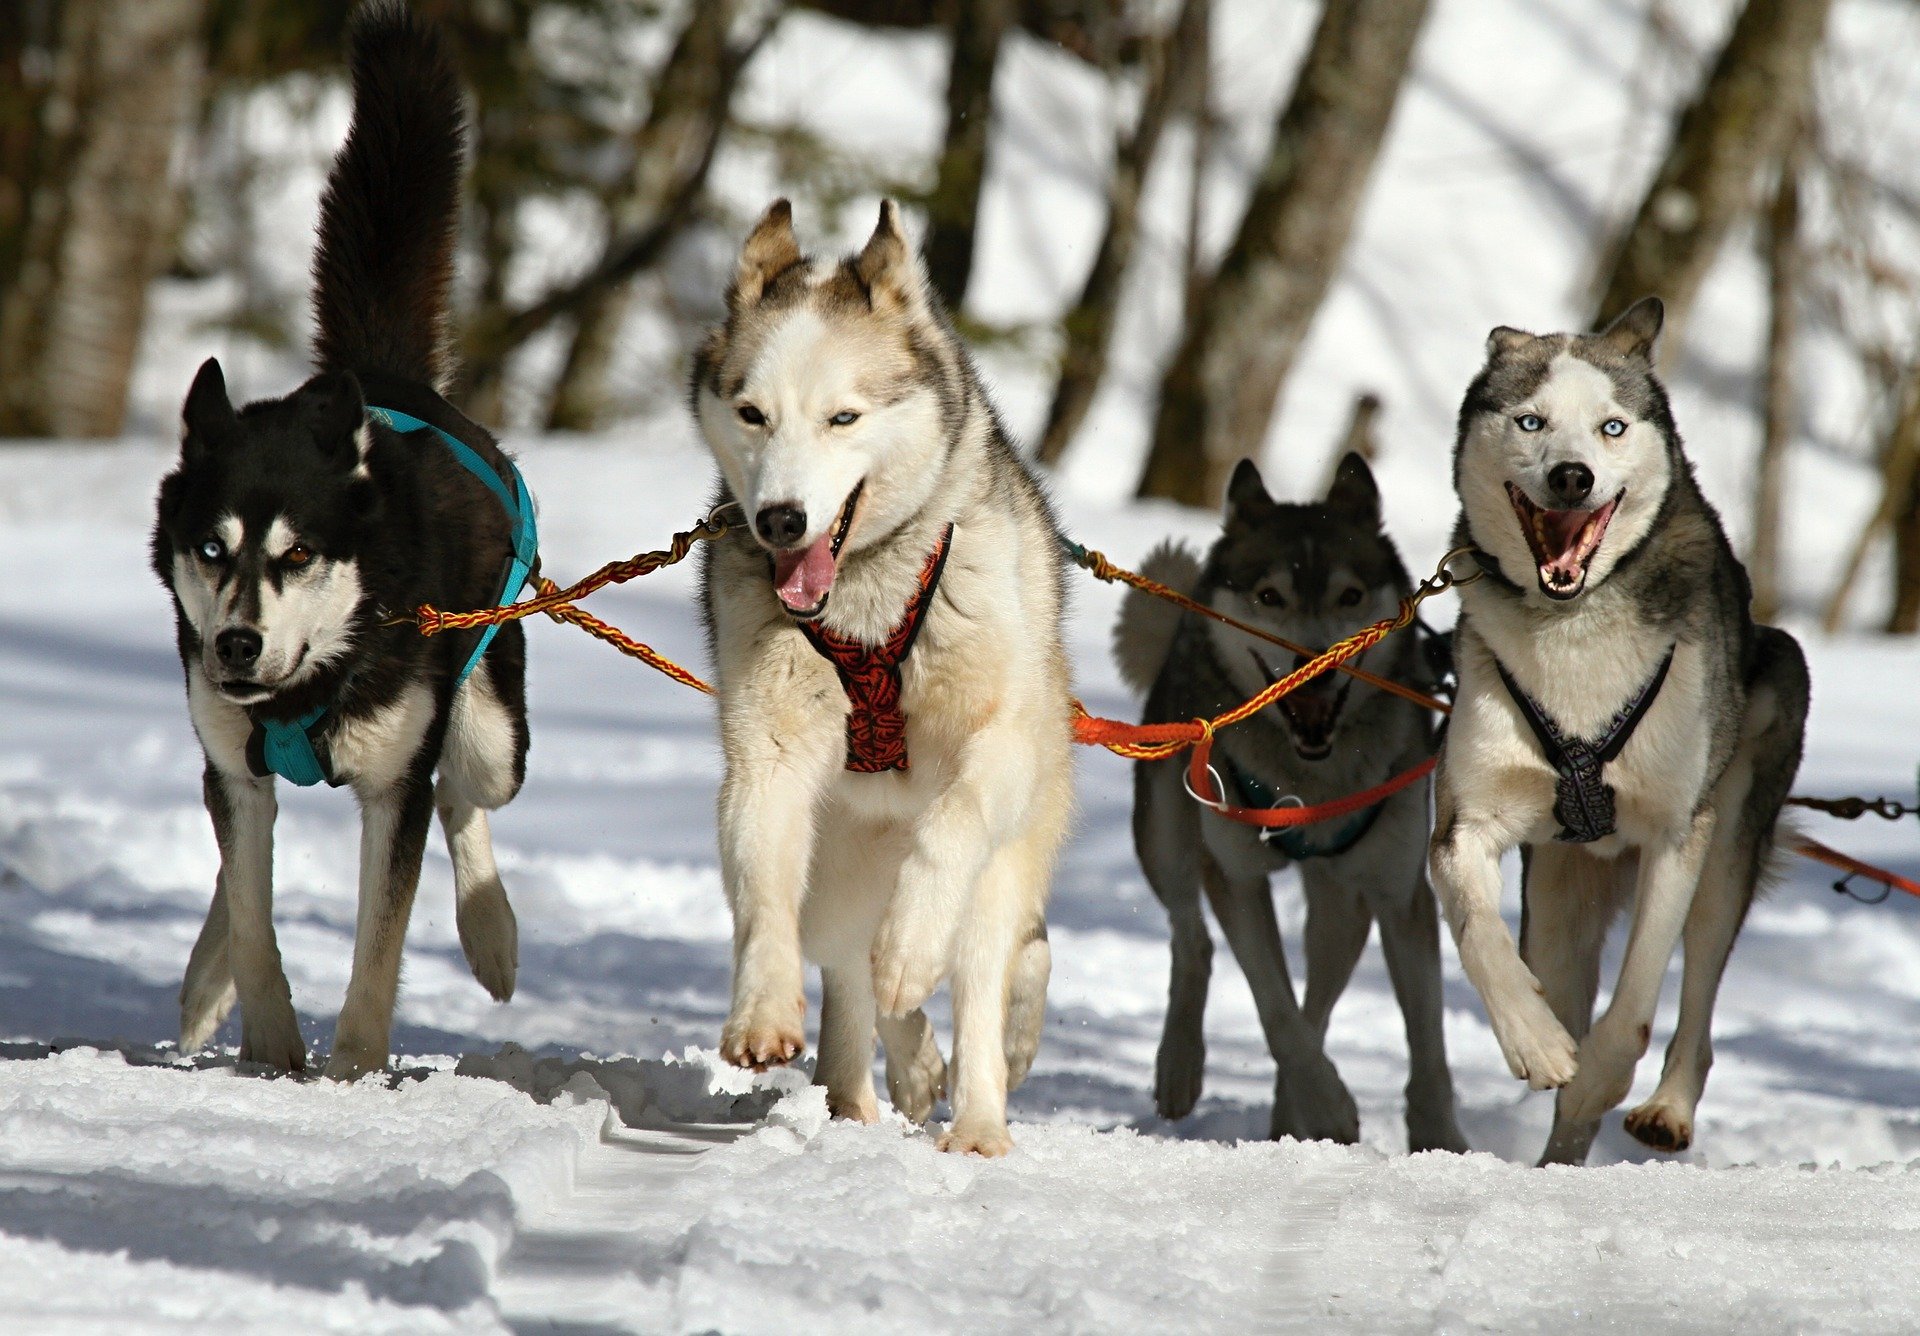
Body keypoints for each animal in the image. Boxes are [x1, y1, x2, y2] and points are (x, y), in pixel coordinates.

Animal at [151, 2, 533, 1074]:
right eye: (211, 549)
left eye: (296, 554)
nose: (237, 644)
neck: (310, 684)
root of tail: (382, 377)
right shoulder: (236, 763)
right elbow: (252, 909)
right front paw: (272, 1047)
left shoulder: (394, 785)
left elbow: (380, 942)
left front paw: (356, 1069)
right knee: (234, 857)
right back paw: (204, 982)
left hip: (492, 724)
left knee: (465, 793)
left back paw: (491, 934)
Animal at [695, 200, 1082, 1159]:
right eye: (752, 413)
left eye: (843, 417)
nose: (780, 518)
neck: (866, 604)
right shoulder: (768, 755)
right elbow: (763, 893)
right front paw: (763, 1012)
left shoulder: (999, 748)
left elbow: (951, 827)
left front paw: (912, 946)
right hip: (835, 871)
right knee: (851, 974)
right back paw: (875, 1086)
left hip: (1005, 863)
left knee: (982, 970)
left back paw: (975, 1119)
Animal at [1121, 456, 1459, 1151]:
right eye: (1269, 597)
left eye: (1350, 597)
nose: (1316, 666)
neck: (1310, 779)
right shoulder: (1236, 876)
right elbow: (1275, 1010)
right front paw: (1328, 1106)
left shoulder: (1398, 893)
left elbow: (1426, 1041)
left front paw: (1441, 1140)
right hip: (1166, 834)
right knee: (1192, 940)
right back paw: (1180, 1067)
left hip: (1343, 903)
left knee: (1320, 997)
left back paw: (1286, 1116)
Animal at [1436, 297, 1804, 1167]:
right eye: (1531, 421)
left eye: (1611, 427)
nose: (1572, 475)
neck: (1573, 629)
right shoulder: (1467, 822)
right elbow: (1478, 932)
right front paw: (1535, 1041)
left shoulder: (1675, 832)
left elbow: (1634, 1008)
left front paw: (1599, 1076)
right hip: (1557, 899)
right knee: (1561, 976)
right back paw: (1557, 1142)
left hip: (1729, 838)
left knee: (1697, 995)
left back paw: (1665, 1108)